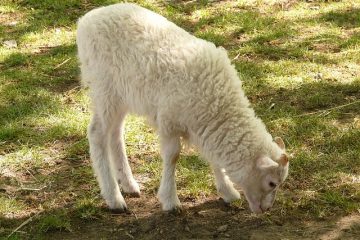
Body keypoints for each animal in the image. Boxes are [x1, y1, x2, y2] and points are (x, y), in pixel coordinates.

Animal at [76, 3, 290, 214]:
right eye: (272, 183)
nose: (266, 209)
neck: (220, 104)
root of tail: (86, 20)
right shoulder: (169, 121)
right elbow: (173, 156)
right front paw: (170, 200)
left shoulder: (204, 124)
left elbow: (213, 158)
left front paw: (227, 191)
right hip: (104, 89)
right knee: (97, 134)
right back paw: (114, 198)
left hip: (122, 95)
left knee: (115, 133)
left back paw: (128, 184)